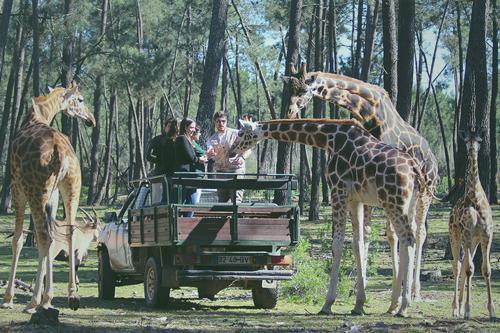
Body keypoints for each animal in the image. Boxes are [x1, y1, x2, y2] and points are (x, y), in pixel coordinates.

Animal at [1, 81, 95, 312]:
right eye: (80, 99)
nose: (91, 119)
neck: (38, 115)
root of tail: (62, 154)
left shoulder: (17, 188)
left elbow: (18, 239)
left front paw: (9, 298)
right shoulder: (53, 197)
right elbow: (54, 239)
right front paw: (48, 298)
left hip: (36, 191)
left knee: (44, 236)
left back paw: (32, 302)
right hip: (72, 188)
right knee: (69, 232)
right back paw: (72, 295)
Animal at [229, 118, 422, 316]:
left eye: (241, 133)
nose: (231, 151)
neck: (330, 140)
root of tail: (414, 169)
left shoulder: (338, 190)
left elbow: (337, 245)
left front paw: (327, 304)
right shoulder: (355, 200)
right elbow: (358, 244)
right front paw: (359, 304)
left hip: (393, 202)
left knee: (408, 239)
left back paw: (404, 306)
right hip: (409, 203)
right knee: (408, 238)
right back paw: (396, 304)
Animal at [284, 63, 440, 300]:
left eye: (303, 90)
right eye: (288, 90)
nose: (289, 113)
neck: (368, 111)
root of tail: (433, 158)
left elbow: (377, 234)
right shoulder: (363, 184)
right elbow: (365, 235)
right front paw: (360, 287)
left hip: (425, 193)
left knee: (419, 232)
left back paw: (414, 291)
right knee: (407, 231)